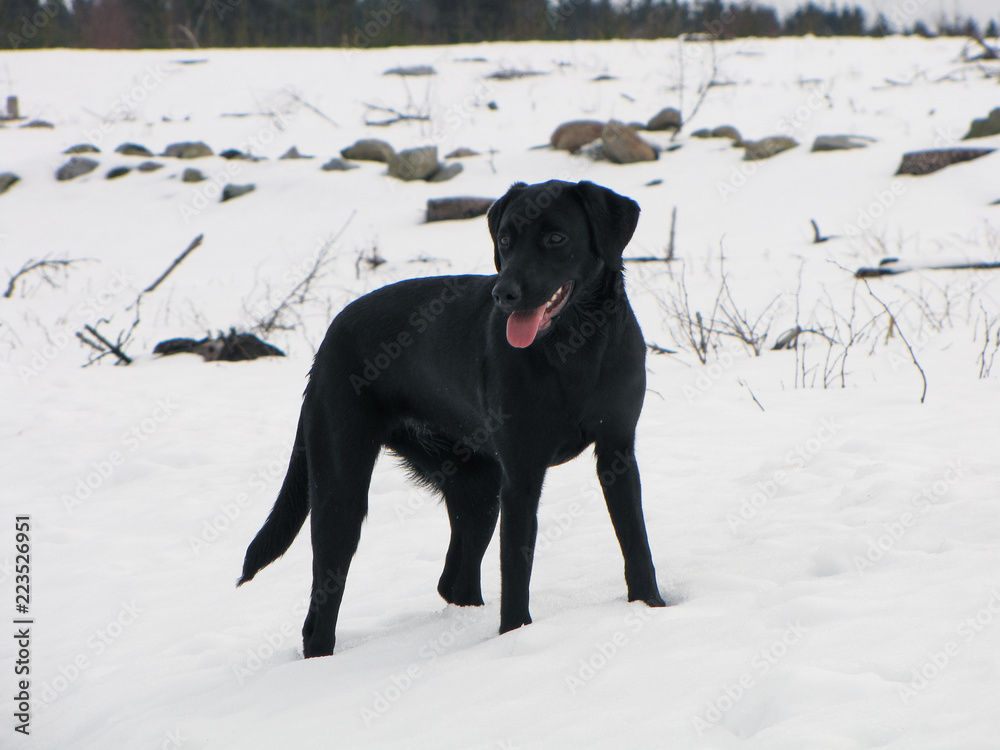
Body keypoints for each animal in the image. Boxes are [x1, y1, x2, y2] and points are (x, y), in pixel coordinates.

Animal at [239, 181, 664, 656]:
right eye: (505, 241)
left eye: (556, 238)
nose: (504, 294)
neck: (574, 349)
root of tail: (325, 344)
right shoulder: (522, 475)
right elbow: (516, 569)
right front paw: (515, 635)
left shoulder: (617, 451)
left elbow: (636, 541)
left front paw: (651, 607)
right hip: (341, 493)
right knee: (321, 609)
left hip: (478, 486)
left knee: (453, 581)